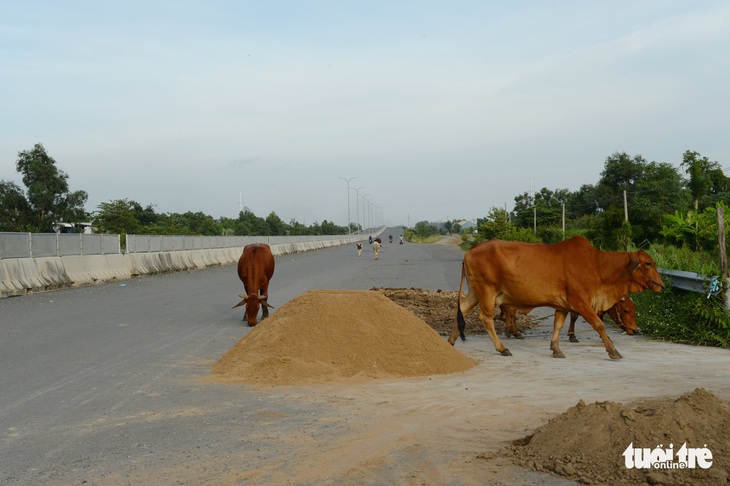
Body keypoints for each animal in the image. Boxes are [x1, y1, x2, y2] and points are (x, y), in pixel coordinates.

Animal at [500, 296, 636, 342]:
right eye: (625, 310)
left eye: (634, 310)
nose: (635, 330)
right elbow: (575, 317)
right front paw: (572, 336)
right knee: (509, 312)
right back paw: (514, 331)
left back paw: (510, 330)